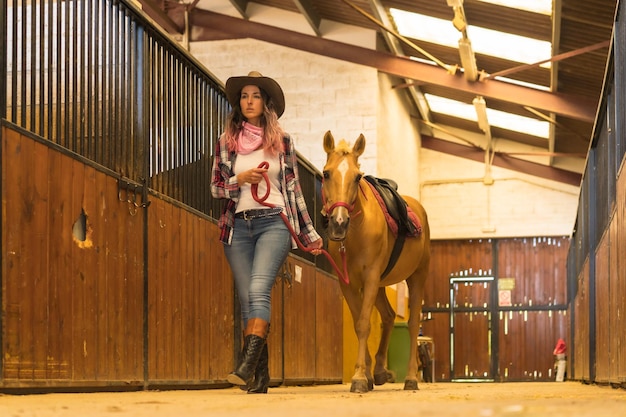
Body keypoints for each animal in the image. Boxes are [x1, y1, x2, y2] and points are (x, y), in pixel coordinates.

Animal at [322, 132, 428, 392]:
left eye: (357, 176)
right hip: (381, 285)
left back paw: (411, 378)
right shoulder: (348, 283)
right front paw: (367, 375)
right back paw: (380, 372)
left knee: (413, 324)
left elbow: (363, 324)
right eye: (326, 173)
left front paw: (359, 377)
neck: (356, 234)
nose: (339, 223)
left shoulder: (370, 277)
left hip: (417, 276)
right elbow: (359, 322)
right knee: (389, 317)